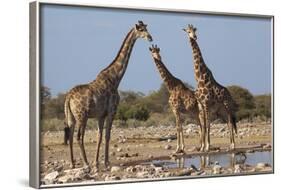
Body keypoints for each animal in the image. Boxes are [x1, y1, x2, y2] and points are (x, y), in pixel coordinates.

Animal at [64, 21, 152, 169]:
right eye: (141, 30)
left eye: (146, 28)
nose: (150, 37)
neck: (115, 78)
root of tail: (68, 97)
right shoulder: (112, 111)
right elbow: (107, 136)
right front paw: (106, 162)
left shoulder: (101, 115)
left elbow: (99, 136)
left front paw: (97, 162)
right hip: (82, 116)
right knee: (79, 137)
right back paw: (85, 163)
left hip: (71, 117)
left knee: (70, 136)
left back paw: (72, 163)